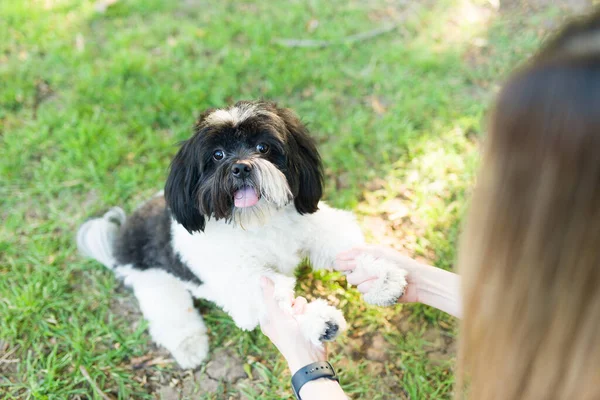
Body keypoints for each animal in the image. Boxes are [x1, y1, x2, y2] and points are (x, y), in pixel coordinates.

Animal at [76, 101, 408, 368]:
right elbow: (279, 299)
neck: (257, 222)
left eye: (263, 148)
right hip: (155, 283)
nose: (240, 167)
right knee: (171, 317)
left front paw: (381, 277)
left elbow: (345, 249)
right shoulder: (244, 283)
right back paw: (190, 348)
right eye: (217, 154)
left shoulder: (316, 229)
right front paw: (317, 321)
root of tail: (120, 237)